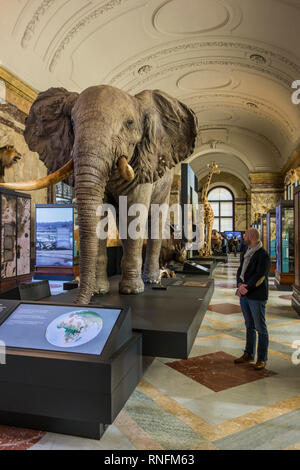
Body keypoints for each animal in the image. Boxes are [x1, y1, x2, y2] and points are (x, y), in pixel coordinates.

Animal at [1, 86, 198, 302]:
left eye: (129, 123)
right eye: (72, 123)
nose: (79, 302)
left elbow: (135, 211)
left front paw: (132, 291)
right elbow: (100, 214)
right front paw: (98, 291)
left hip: (165, 183)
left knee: (155, 219)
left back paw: (152, 280)